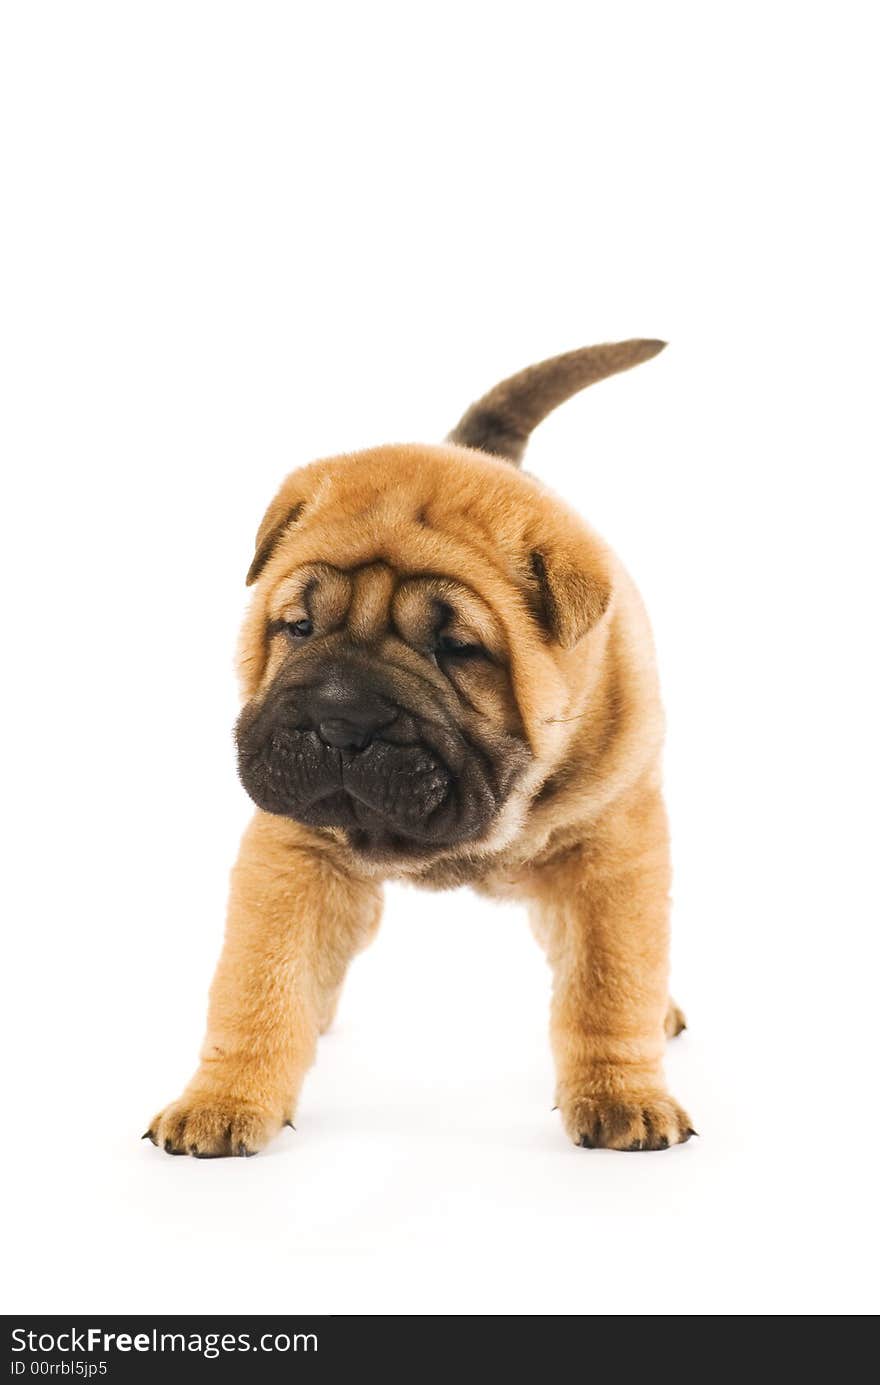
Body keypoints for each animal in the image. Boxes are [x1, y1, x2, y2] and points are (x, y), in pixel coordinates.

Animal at [146, 343, 695, 1157]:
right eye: (298, 627)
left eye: (457, 649)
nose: (339, 720)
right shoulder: (291, 854)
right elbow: (258, 983)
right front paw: (222, 1099)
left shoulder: (610, 849)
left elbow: (609, 981)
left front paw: (623, 1094)